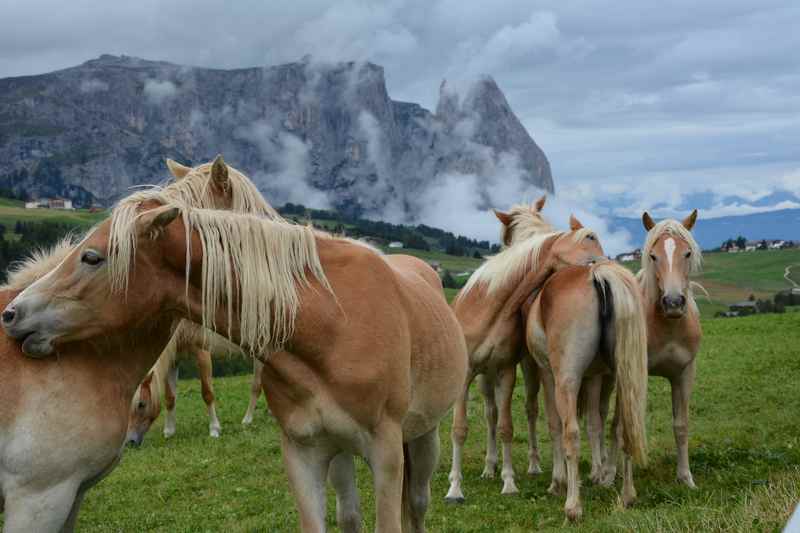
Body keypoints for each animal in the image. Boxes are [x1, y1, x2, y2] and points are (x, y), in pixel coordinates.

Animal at [3, 200, 468, 532]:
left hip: (421, 439)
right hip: (340, 456)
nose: (12, 314)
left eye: (92, 258)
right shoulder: (304, 452)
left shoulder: (386, 453)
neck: (332, 325)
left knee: (417, 505)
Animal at [440, 208, 604, 502]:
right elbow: (459, 429)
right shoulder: (466, 374)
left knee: (516, 412)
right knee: (489, 414)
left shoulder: (505, 371)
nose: (606, 264)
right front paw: (455, 488)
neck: (489, 309)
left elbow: (506, 428)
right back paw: (487, 468)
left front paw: (509, 482)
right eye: (589, 240)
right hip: (484, 378)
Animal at [524, 258, 648, 520]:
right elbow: (595, 423)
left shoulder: (549, 375)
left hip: (567, 381)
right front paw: (598, 472)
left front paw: (558, 482)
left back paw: (573, 506)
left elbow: (555, 426)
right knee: (624, 428)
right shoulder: (594, 377)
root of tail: (597, 274)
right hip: (624, 379)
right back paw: (627, 495)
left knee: (571, 433)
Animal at [596, 211, 704, 490]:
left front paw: (685, 477)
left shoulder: (684, 374)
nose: (673, 302)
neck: (668, 327)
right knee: (602, 417)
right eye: (653, 256)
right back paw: (603, 468)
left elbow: (681, 426)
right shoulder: (631, 374)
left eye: (687, 253)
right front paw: (611, 475)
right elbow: (621, 425)